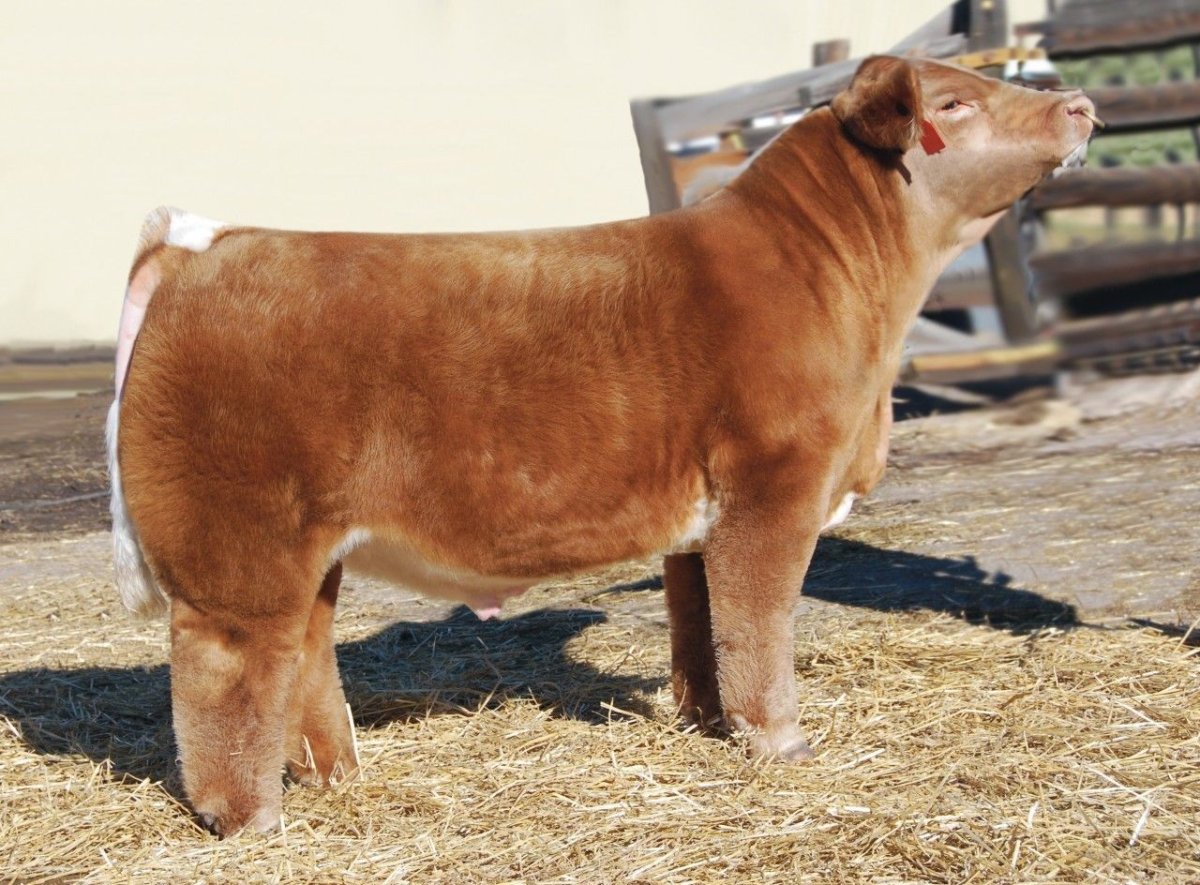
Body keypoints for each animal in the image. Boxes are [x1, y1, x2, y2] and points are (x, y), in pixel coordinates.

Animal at [107, 55, 1096, 835]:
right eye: (953, 103)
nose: (1079, 104)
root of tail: (210, 244)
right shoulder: (774, 487)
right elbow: (760, 623)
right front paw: (782, 743)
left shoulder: (703, 519)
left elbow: (702, 624)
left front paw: (707, 724)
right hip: (238, 555)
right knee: (226, 675)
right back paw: (252, 819)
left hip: (307, 553)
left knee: (305, 657)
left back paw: (338, 776)